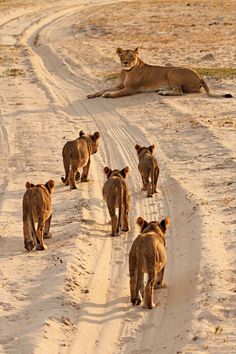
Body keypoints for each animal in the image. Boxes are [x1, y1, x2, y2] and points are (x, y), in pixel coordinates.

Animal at [86, 47, 232, 98]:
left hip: (172, 72)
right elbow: (103, 89)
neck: (126, 71)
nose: (125, 63)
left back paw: (164, 92)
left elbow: (115, 93)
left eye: (131, 56)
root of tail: (199, 75)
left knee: (179, 92)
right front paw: (92, 94)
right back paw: (162, 90)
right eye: (122, 56)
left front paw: (107, 94)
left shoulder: (131, 89)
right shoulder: (120, 85)